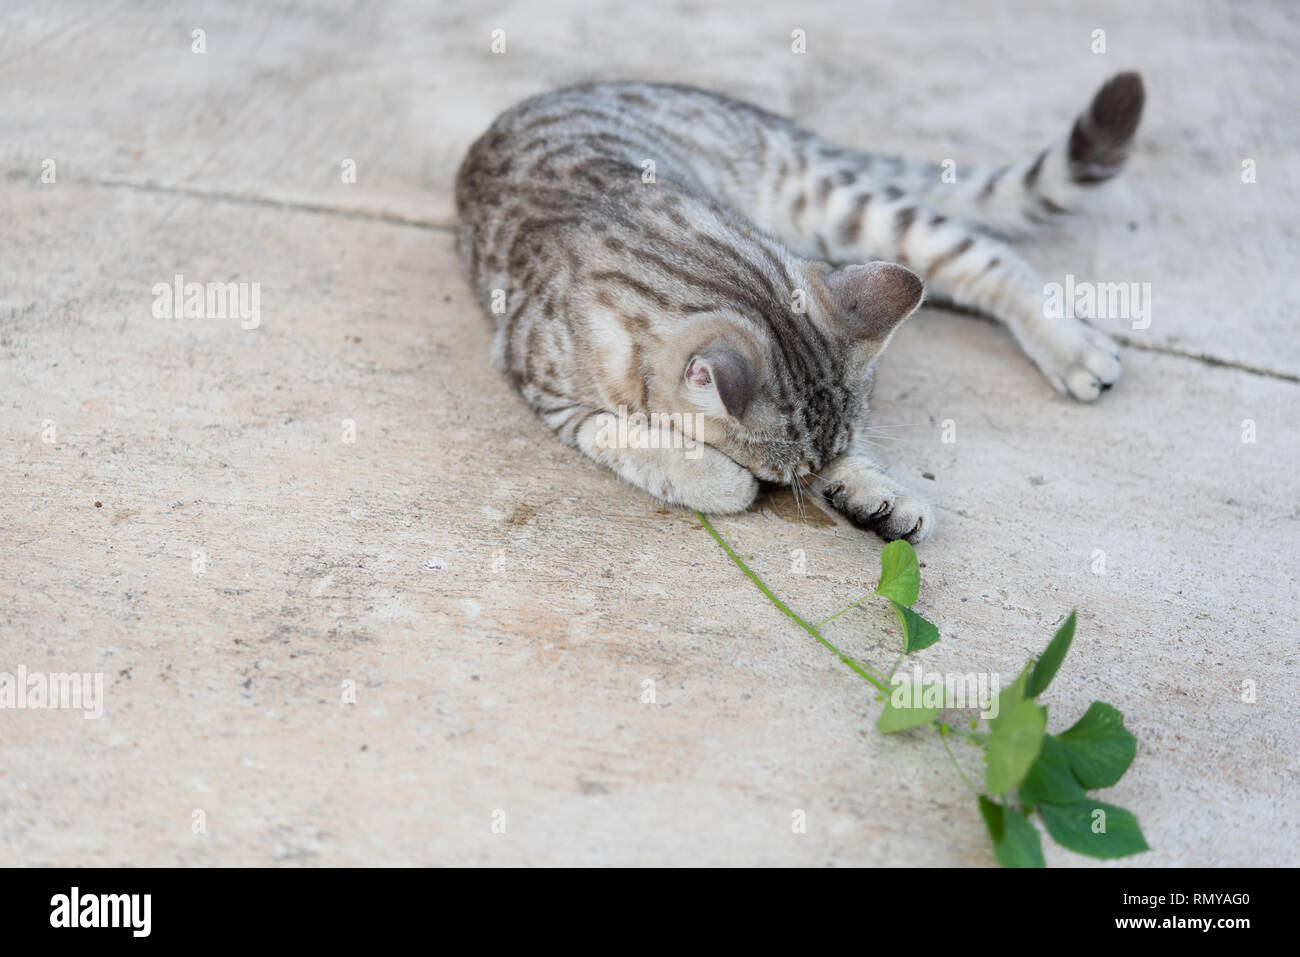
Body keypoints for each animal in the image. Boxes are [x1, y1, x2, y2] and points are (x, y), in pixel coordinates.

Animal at [452, 71, 1144, 540]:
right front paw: (724, 478)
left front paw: (869, 486)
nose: (813, 484)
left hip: (843, 205)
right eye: (784, 481)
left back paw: (1073, 347)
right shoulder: (545, 385)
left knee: (988, 258)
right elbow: (625, 435)